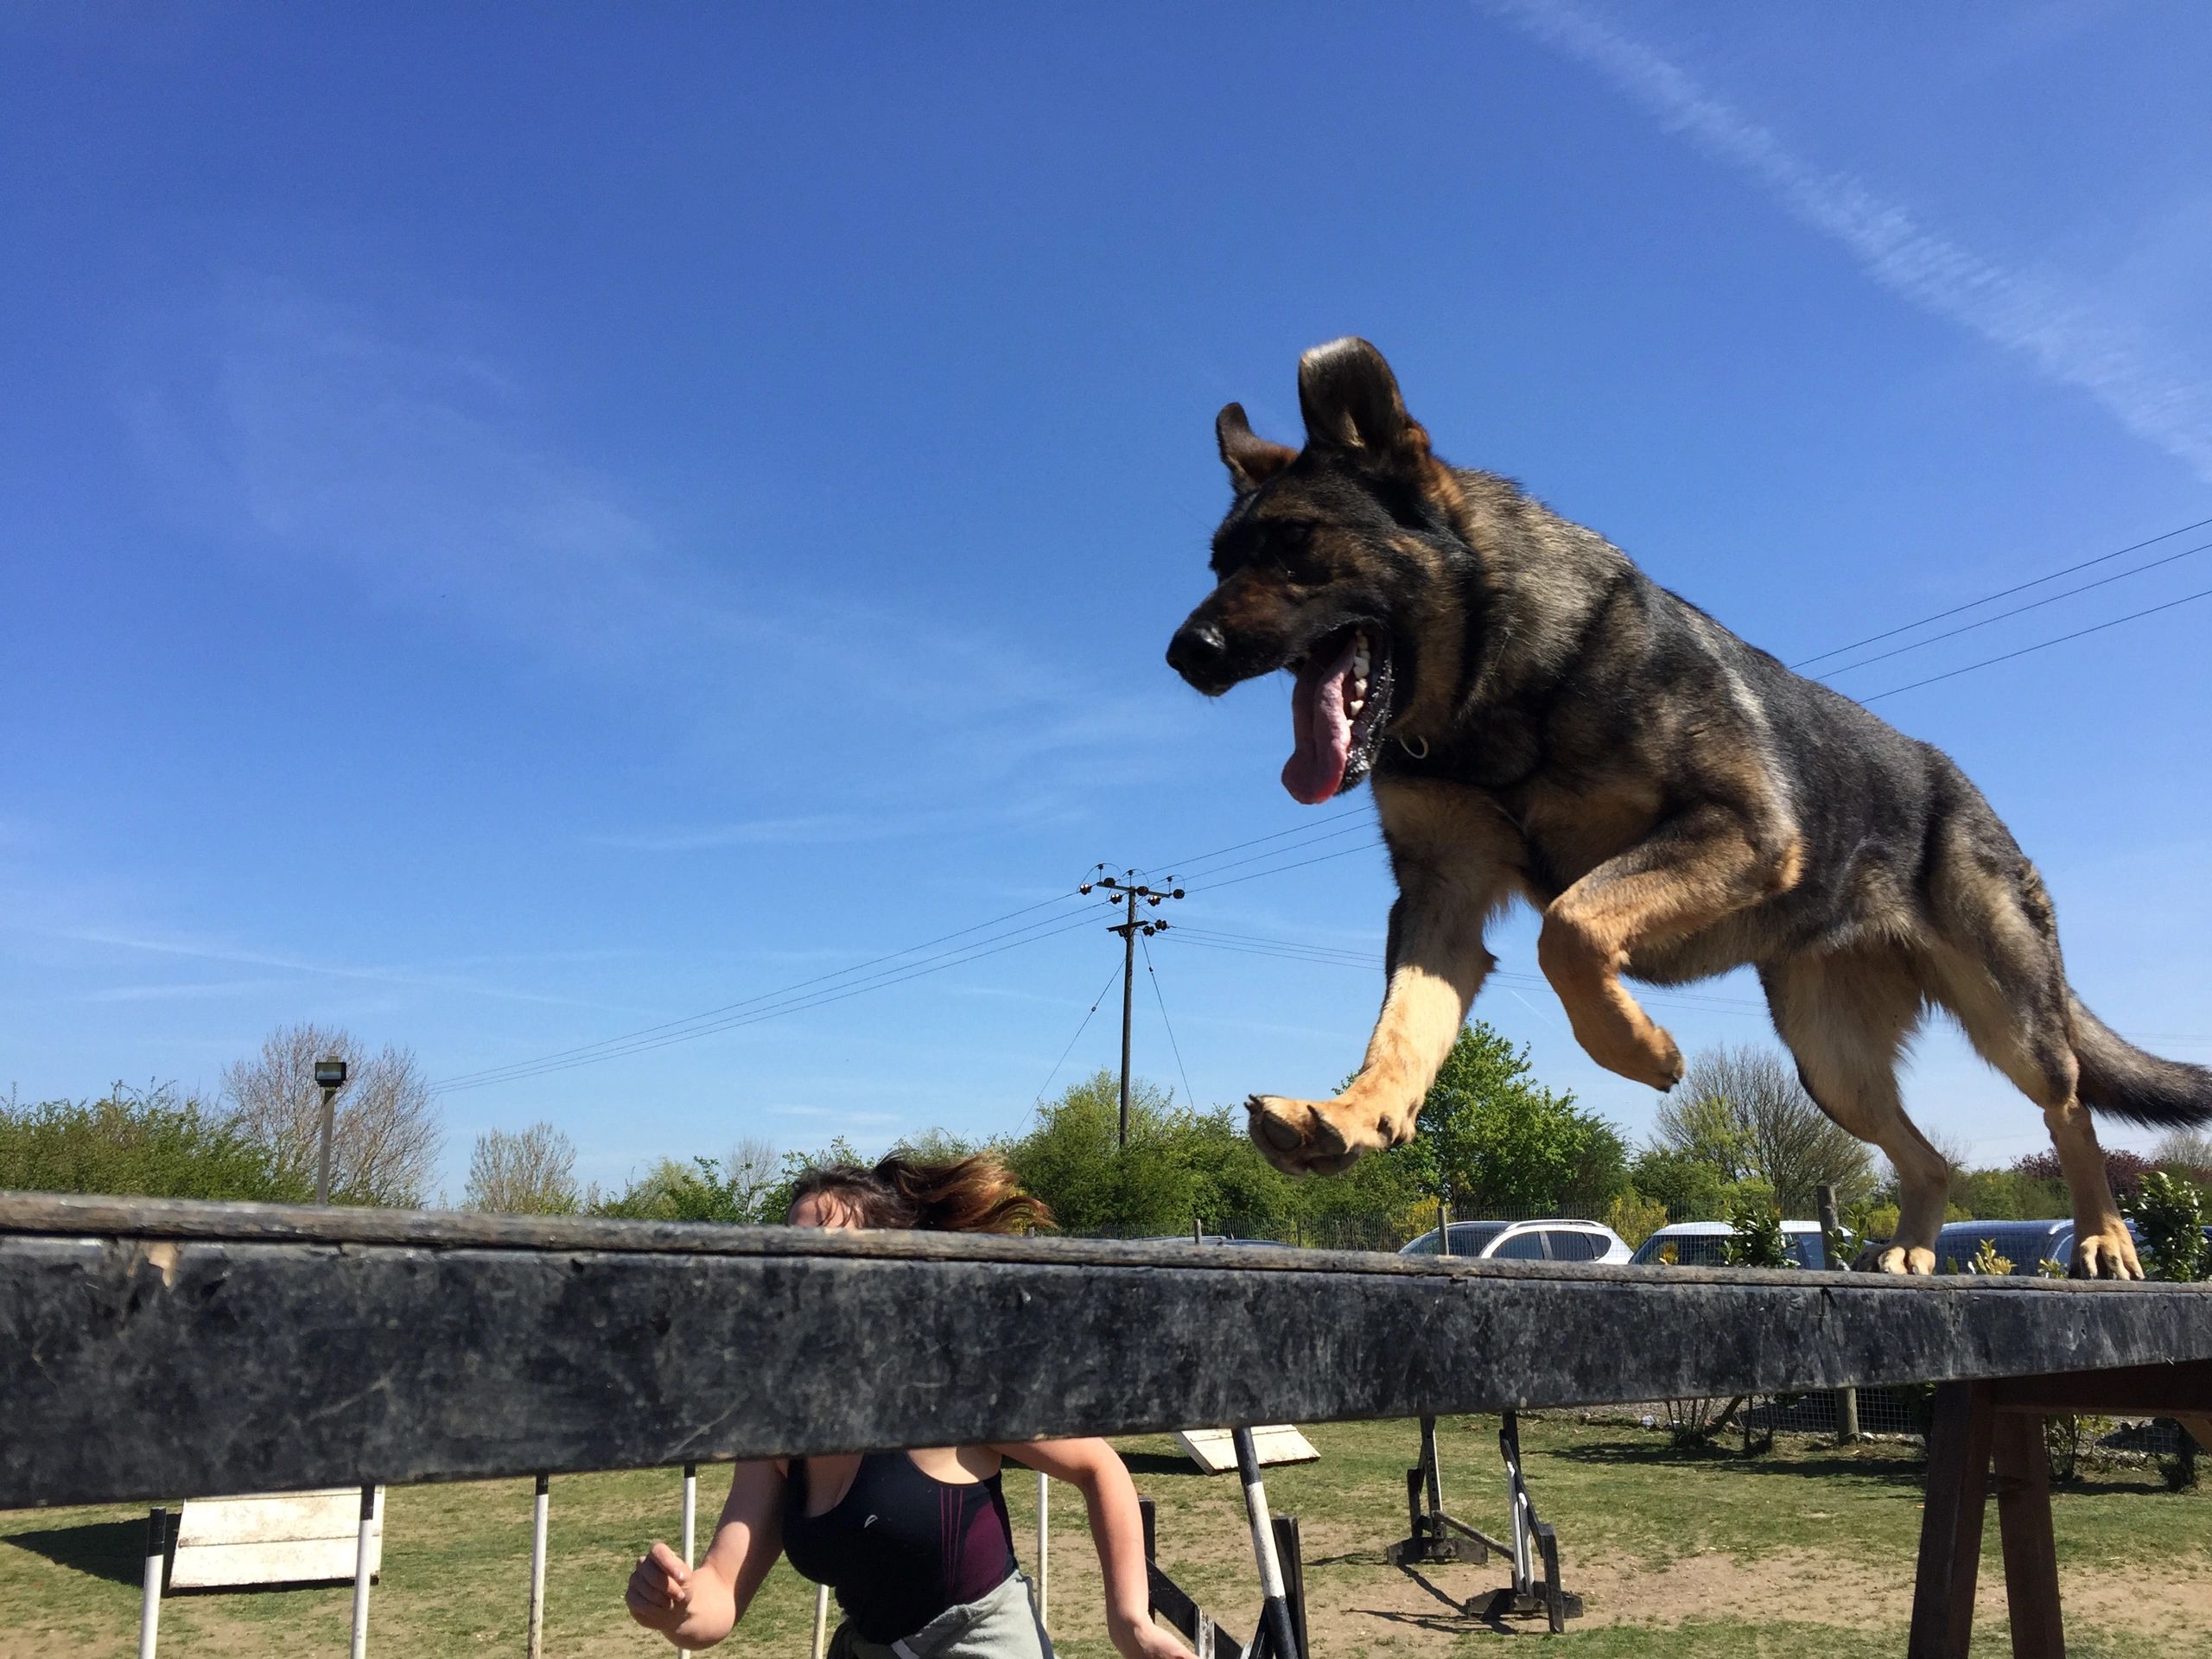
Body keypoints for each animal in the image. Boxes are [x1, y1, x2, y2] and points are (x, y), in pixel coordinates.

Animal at [1167, 334, 2202, 1274]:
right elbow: (1400, 1033)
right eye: (1218, 562)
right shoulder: (1441, 901)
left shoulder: (1739, 829)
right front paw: (1351, 1116)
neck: (1491, 692)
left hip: (2006, 1015)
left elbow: (1570, 928)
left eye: (1298, 544)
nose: (1185, 654)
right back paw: (1913, 1247)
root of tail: (1965, 788)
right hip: (1832, 1060)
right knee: (1930, 1157)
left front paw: (1638, 1049)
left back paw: (2105, 1237)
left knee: (2069, 1106)